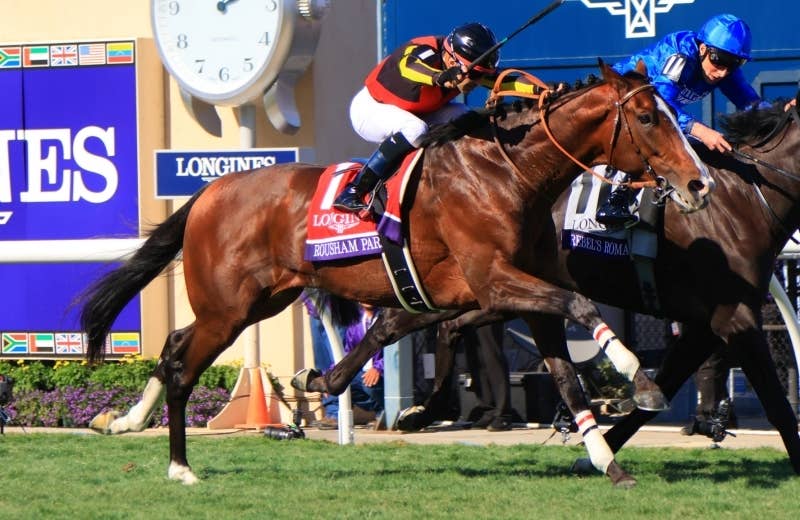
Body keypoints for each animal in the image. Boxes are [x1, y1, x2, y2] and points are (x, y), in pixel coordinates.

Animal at [79, 61, 712, 486]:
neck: (508, 172)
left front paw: (608, 462)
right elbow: (580, 308)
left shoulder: (515, 294)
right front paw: (641, 380)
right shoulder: (495, 282)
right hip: (227, 308)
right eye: (649, 117)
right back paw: (179, 466)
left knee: (173, 345)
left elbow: (565, 375)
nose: (699, 183)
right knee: (184, 367)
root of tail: (210, 192)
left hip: (255, 302)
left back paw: (127, 421)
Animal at [330, 100, 800, 477]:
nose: (697, 187)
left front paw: (598, 451)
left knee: (422, 323)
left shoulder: (704, 327)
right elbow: (776, 403)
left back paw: (405, 405)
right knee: (414, 322)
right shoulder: (734, 318)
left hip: (490, 291)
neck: (742, 200)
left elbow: (662, 389)